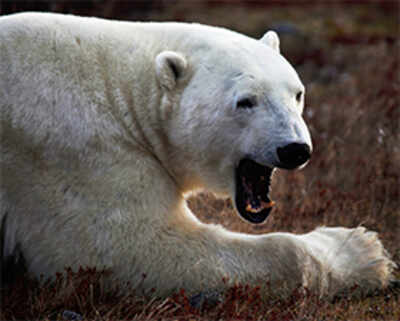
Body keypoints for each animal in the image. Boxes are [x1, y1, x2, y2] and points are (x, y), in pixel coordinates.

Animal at [0, 11, 396, 298]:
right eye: (245, 101)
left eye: (297, 93)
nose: (295, 149)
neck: (121, 89)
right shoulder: (74, 151)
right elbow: (131, 248)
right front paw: (365, 250)